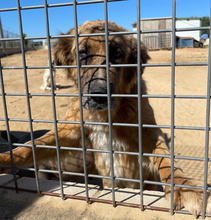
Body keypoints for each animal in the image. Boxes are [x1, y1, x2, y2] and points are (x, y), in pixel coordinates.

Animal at [0, 20, 210, 217]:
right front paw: (5, 159)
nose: (99, 95)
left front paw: (184, 187)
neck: (106, 115)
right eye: (83, 54)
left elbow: (165, 158)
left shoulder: (147, 131)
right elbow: (32, 145)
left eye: (117, 54)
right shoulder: (70, 130)